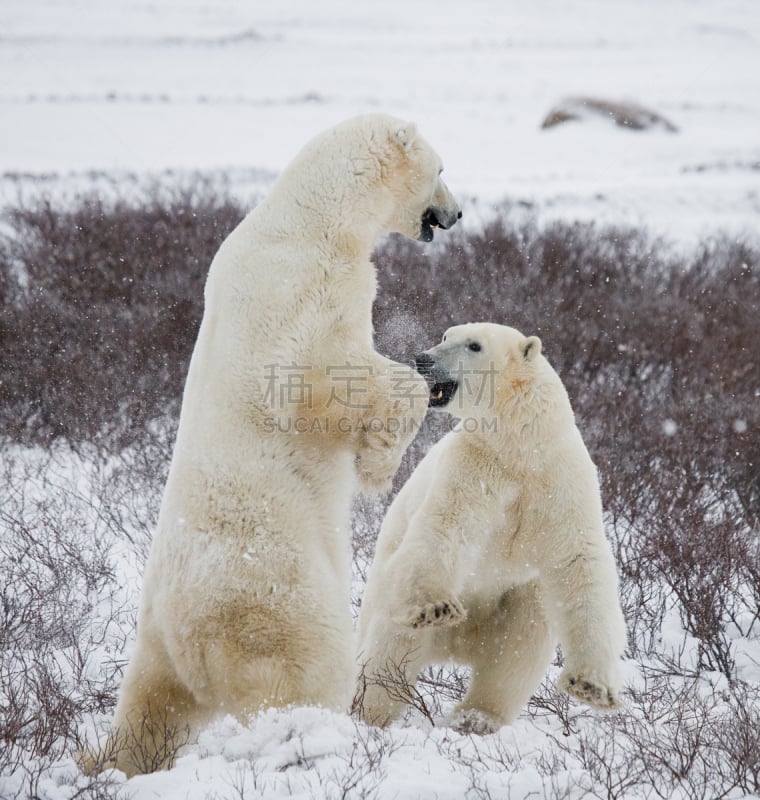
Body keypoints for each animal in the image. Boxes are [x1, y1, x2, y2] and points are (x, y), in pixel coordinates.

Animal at [95, 112, 464, 776]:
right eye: (442, 167)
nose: (455, 214)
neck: (312, 219)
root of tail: (188, 636)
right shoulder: (306, 293)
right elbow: (324, 381)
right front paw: (380, 463)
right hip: (276, 595)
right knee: (303, 674)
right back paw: (319, 742)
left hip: (153, 638)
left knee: (149, 707)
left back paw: (112, 762)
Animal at [360, 320, 628, 732]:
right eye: (444, 336)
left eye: (474, 345)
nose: (423, 359)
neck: (519, 449)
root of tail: (456, 648)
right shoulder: (475, 464)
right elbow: (445, 524)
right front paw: (436, 606)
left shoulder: (560, 477)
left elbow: (579, 561)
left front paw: (594, 687)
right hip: (387, 591)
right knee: (390, 649)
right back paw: (369, 712)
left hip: (518, 604)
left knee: (515, 657)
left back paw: (476, 717)